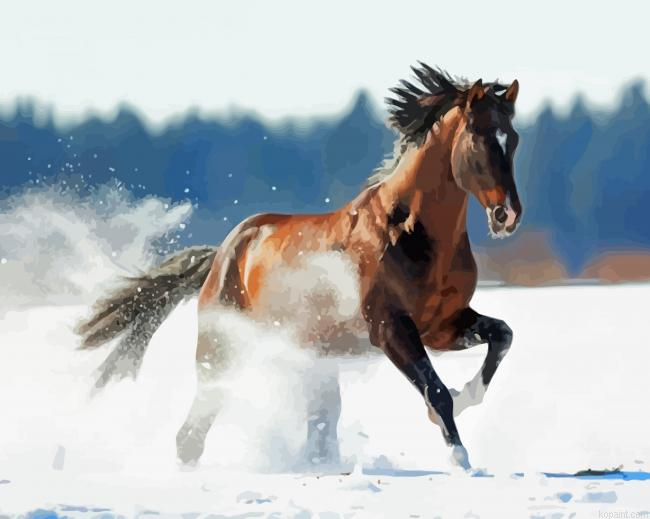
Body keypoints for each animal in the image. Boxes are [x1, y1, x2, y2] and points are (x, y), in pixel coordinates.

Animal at [76, 63, 522, 471]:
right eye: (479, 138)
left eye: (513, 139)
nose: (507, 215)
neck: (408, 230)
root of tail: (223, 254)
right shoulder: (390, 329)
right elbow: (436, 390)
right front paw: (460, 458)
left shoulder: (443, 326)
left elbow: (502, 336)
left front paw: (466, 400)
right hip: (222, 350)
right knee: (193, 432)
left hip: (312, 358)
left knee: (315, 426)